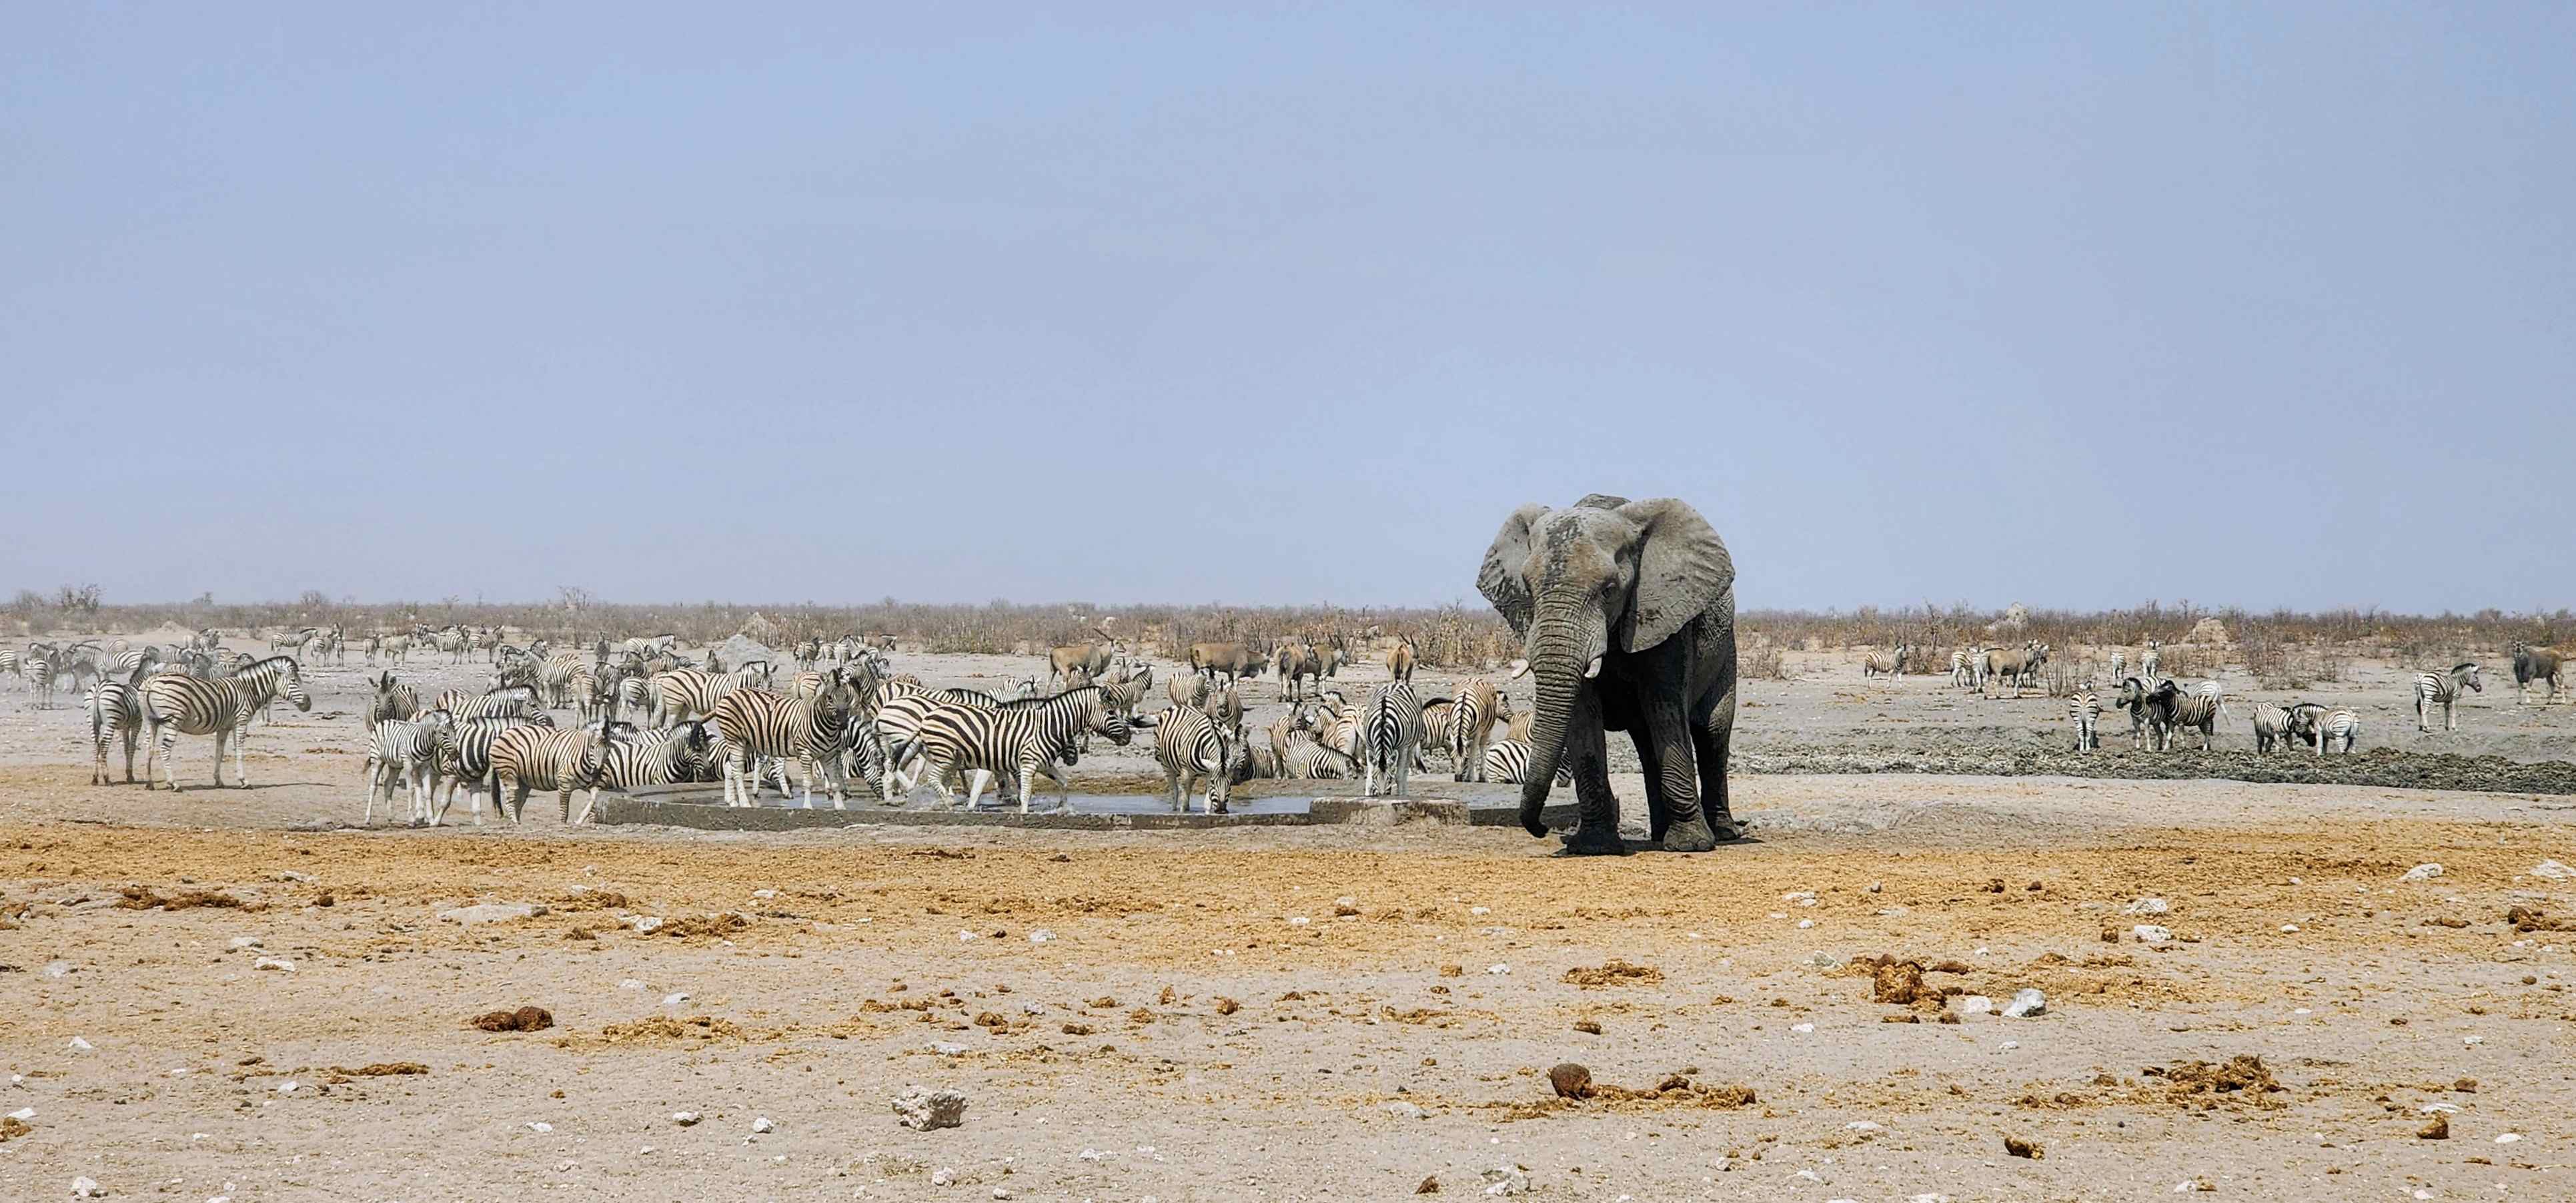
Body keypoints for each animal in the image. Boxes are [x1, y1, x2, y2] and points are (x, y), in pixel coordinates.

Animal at [1477, 494, 1739, 854]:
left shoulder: (1665, 620)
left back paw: (1722, 834)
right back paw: (1659, 835)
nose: (1542, 829)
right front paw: (1594, 846)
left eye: (1609, 589)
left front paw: (1692, 845)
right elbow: (1583, 717)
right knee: (1647, 743)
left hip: (1727, 650)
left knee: (1711, 733)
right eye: (1528, 587)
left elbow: (1666, 709)